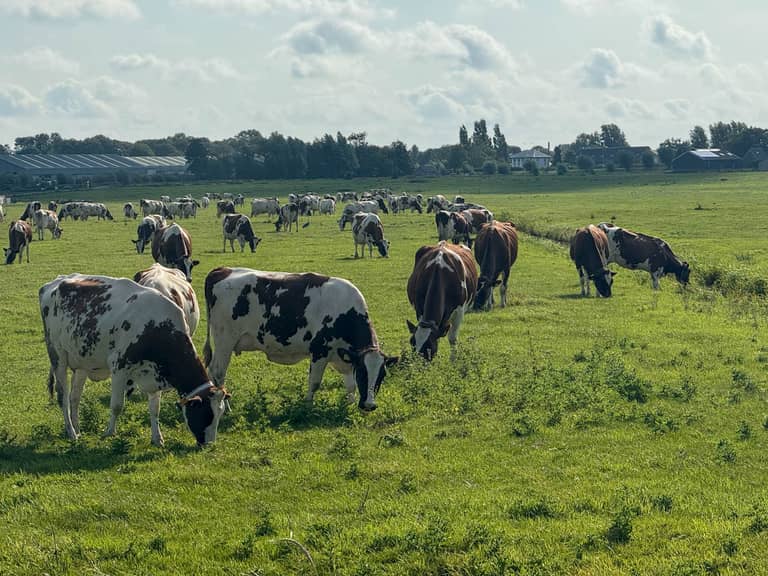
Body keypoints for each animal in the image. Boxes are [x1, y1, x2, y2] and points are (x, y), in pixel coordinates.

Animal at [40, 275, 229, 446]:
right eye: (206, 414)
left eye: (219, 414)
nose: (209, 445)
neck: (156, 327)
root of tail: (54, 282)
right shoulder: (119, 367)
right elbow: (117, 405)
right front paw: (109, 433)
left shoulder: (155, 373)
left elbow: (155, 409)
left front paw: (157, 438)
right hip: (58, 356)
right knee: (63, 396)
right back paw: (71, 432)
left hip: (82, 363)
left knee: (75, 397)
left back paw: (77, 429)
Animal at [202, 267, 397, 411]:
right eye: (364, 373)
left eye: (382, 375)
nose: (369, 405)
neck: (344, 312)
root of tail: (222, 270)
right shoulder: (319, 352)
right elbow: (314, 383)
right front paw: (308, 407)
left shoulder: (347, 357)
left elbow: (350, 385)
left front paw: (349, 406)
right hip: (224, 340)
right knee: (218, 372)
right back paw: (226, 408)